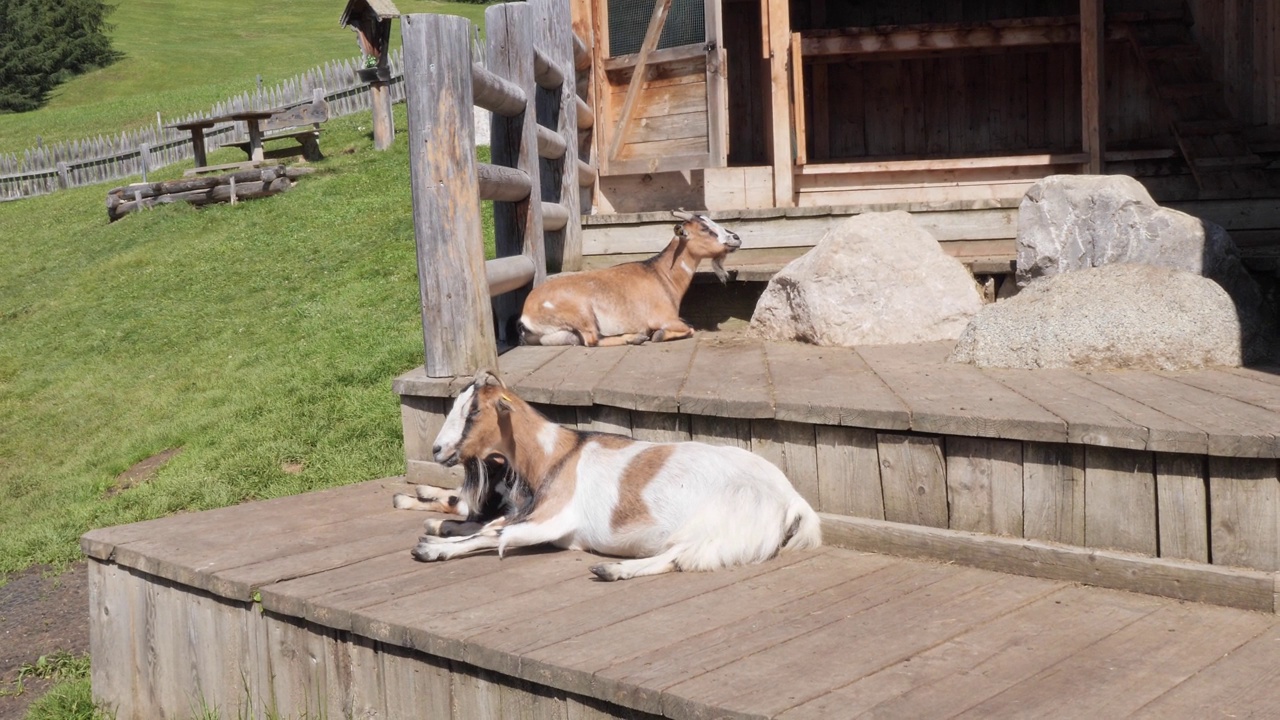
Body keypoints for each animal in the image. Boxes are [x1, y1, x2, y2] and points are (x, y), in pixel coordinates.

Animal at [404, 368, 824, 576]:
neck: (557, 455)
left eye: (473, 410)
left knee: (681, 557)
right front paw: (438, 530)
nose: (437, 449)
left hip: (716, 525)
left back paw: (611, 568)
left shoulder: (552, 519)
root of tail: (793, 500)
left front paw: (431, 548)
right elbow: (489, 527)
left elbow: (494, 536)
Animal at [517, 210, 747, 345]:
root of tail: (526, 314)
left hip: (559, 334)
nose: (736, 238)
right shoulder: (664, 318)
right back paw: (636, 337)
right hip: (582, 312)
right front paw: (658, 335)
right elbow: (688, 328)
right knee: (592, 340)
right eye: (705, 228)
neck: (661, 275)